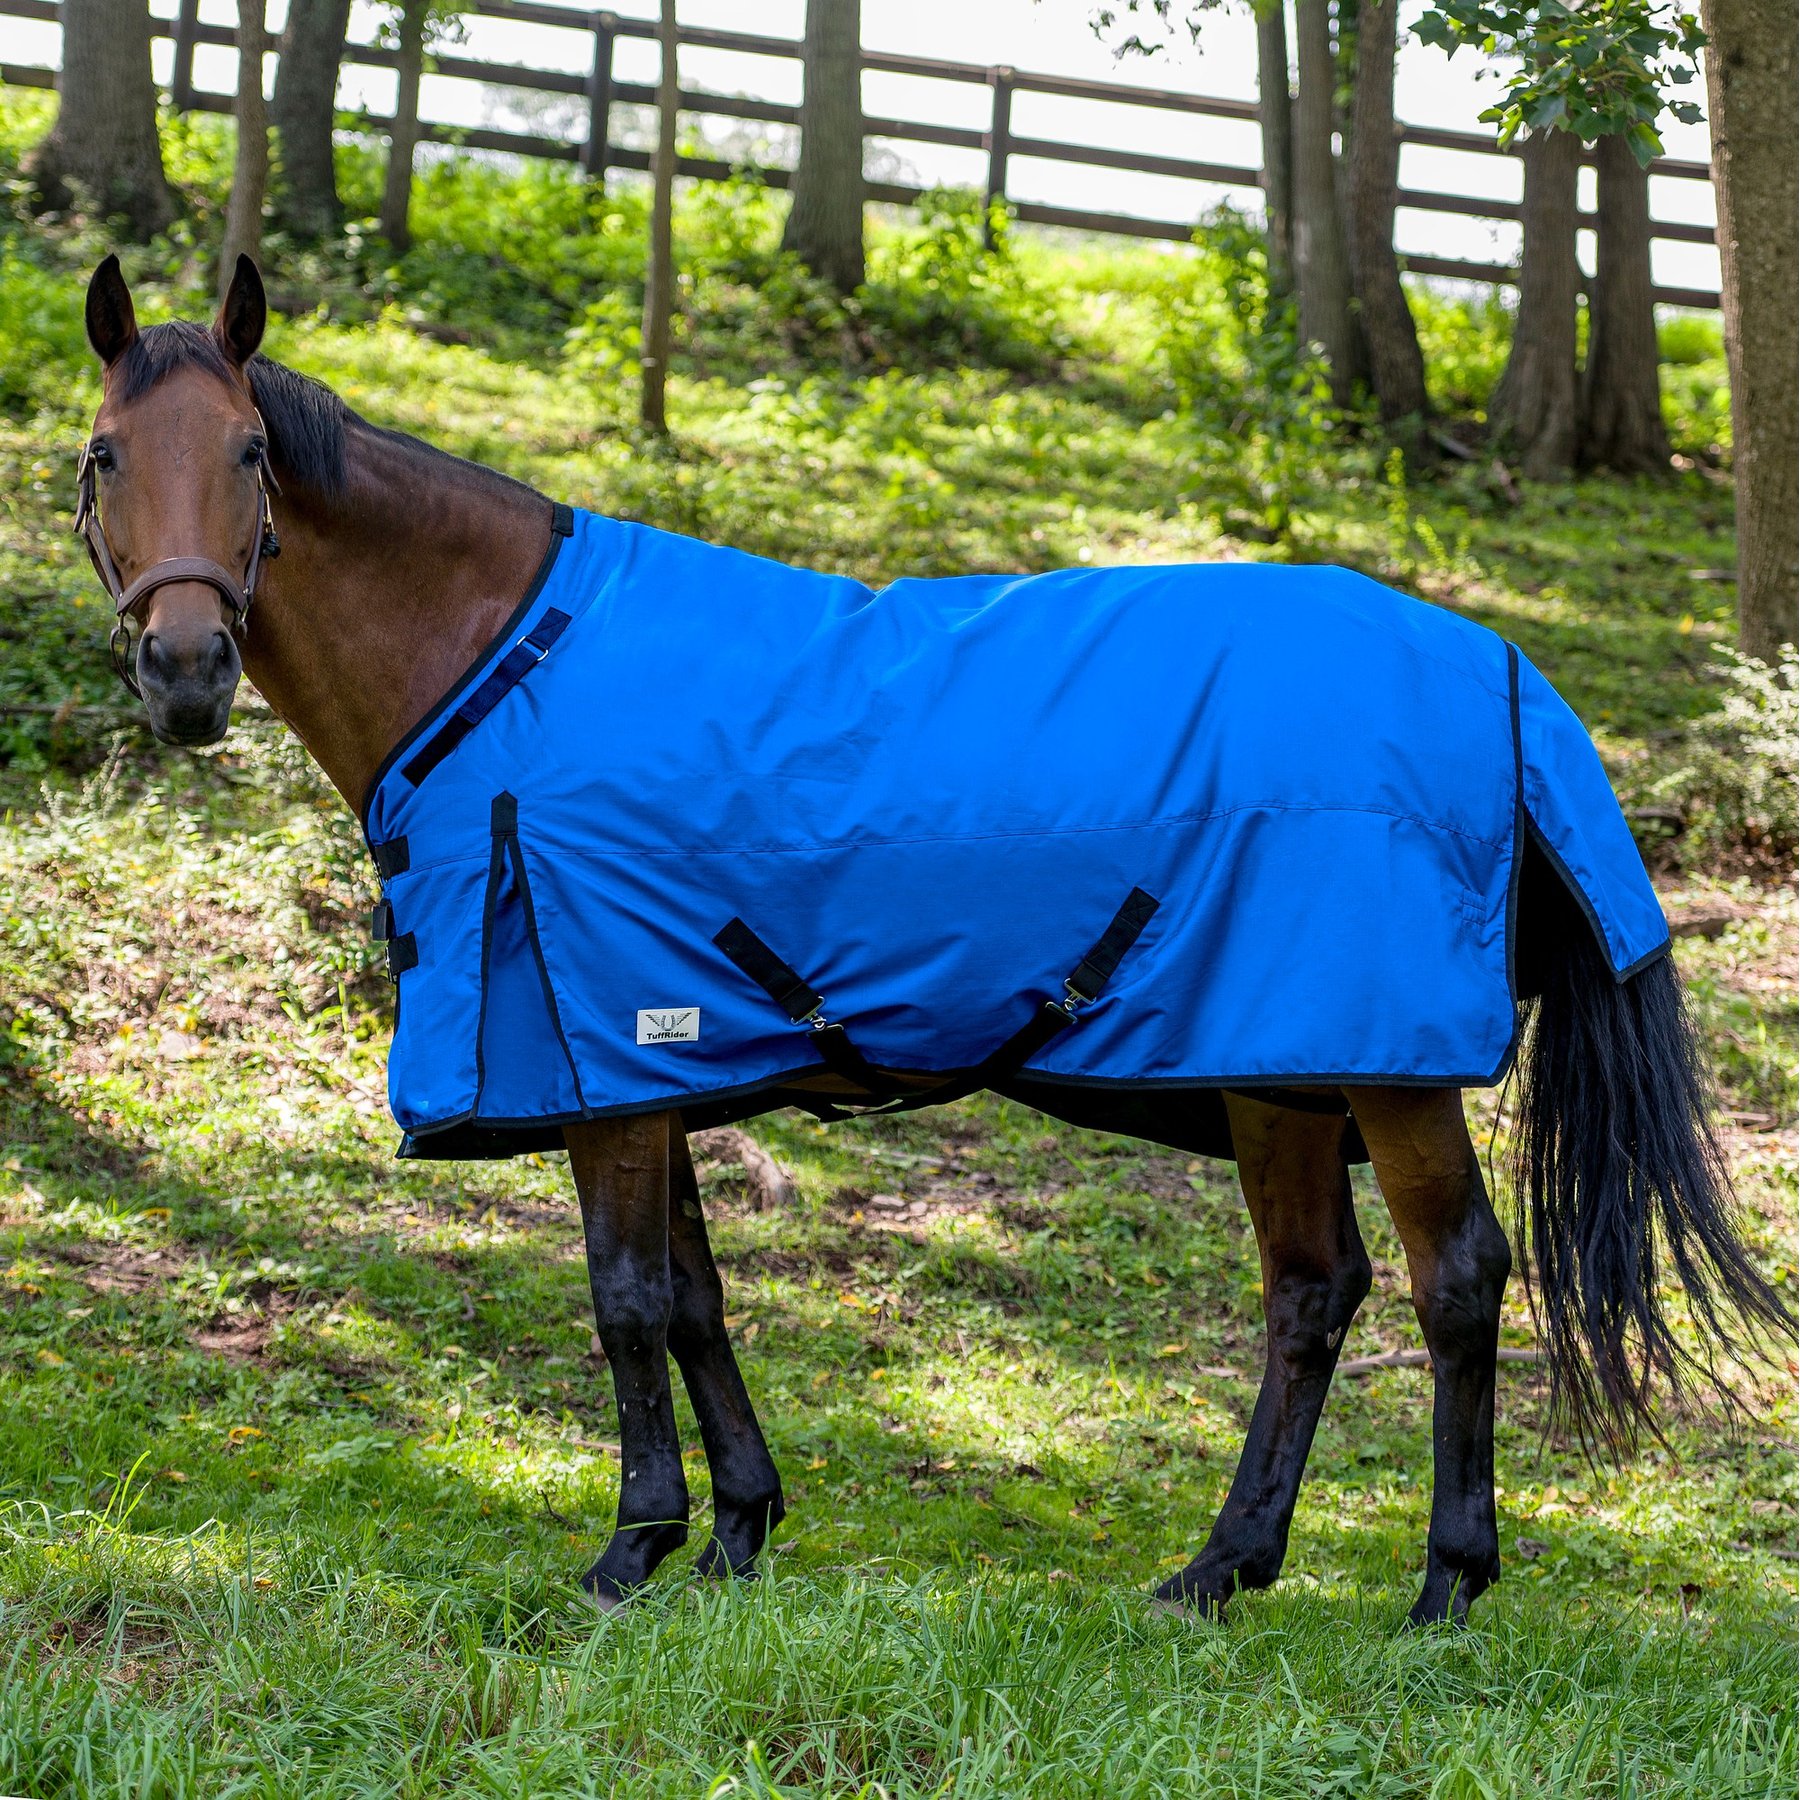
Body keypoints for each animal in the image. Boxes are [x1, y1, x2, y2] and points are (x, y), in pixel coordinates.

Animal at [69, 253, 1788, 1625]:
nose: (185, 672)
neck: (501, 665)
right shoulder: (655, 1058)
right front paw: (738, 1531)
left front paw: (635, 1547)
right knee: (1312, 1294)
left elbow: (625, 1297)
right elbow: (692, 1295)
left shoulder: (603, 1055)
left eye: (247, 451)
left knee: (1456, 1279)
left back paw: (1446, 1581)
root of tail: (1498, 661)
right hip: (1277, 1068)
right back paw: (1219, 1569)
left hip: (1389, 1068)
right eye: (100, 458)